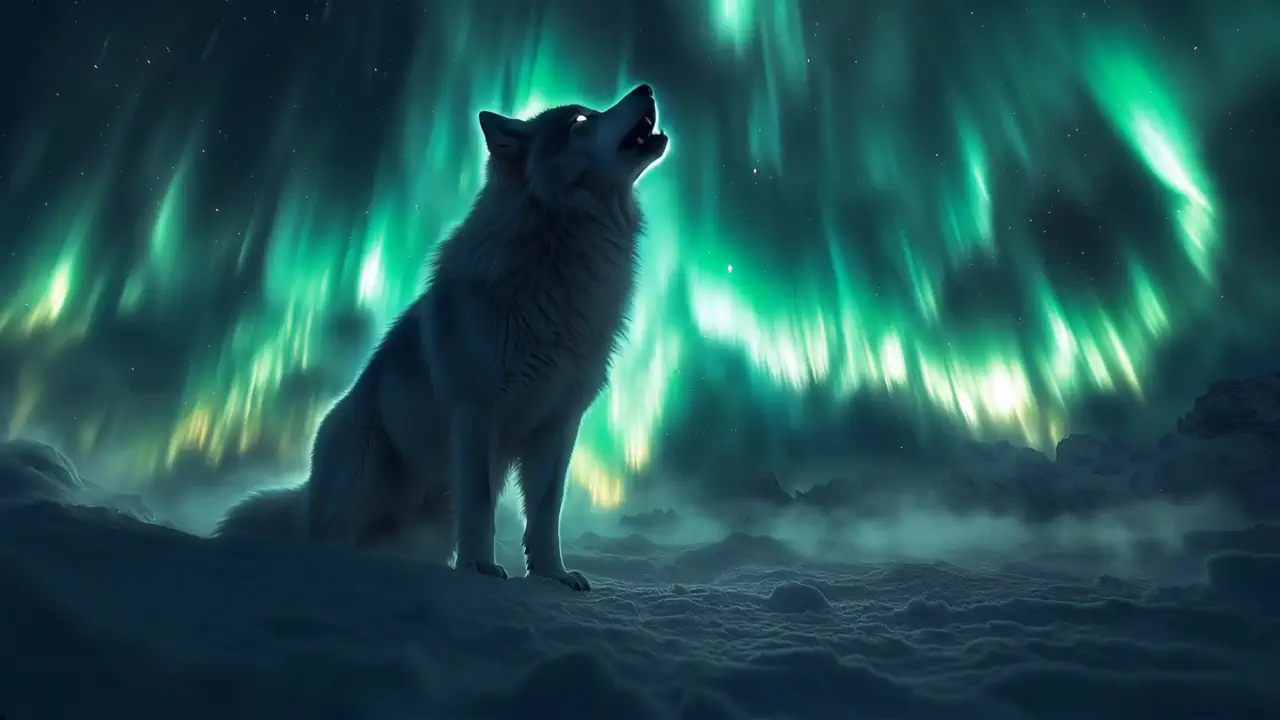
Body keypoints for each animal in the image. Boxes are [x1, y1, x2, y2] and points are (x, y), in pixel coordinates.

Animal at [215, 84, 669, 591]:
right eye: (580, 120)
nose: (647, 88)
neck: (562, 260)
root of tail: (306, 496)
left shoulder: (559, 424)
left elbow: (546, 512)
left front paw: (552, 576)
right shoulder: (476, 414)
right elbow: (482, 505)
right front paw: (480, 570)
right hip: (361, 475)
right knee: (327, 540)